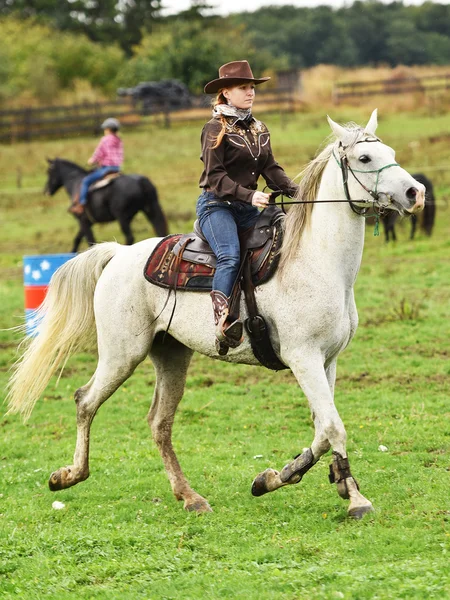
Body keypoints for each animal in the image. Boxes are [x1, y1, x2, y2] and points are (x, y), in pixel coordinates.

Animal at [7, 109, 424, 520]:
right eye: (364, 158)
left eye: (389, 151)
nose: (415, 193)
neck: (316, 260)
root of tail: (119, 254)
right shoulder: (303, 357)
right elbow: (334, 427)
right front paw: (355, 498)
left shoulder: (328, 360)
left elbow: (323, 429)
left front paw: (276, 478)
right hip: (121, 354)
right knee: (86, 401)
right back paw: (67, 476)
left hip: (170, 354)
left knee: (159, 423)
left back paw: (189, 496)